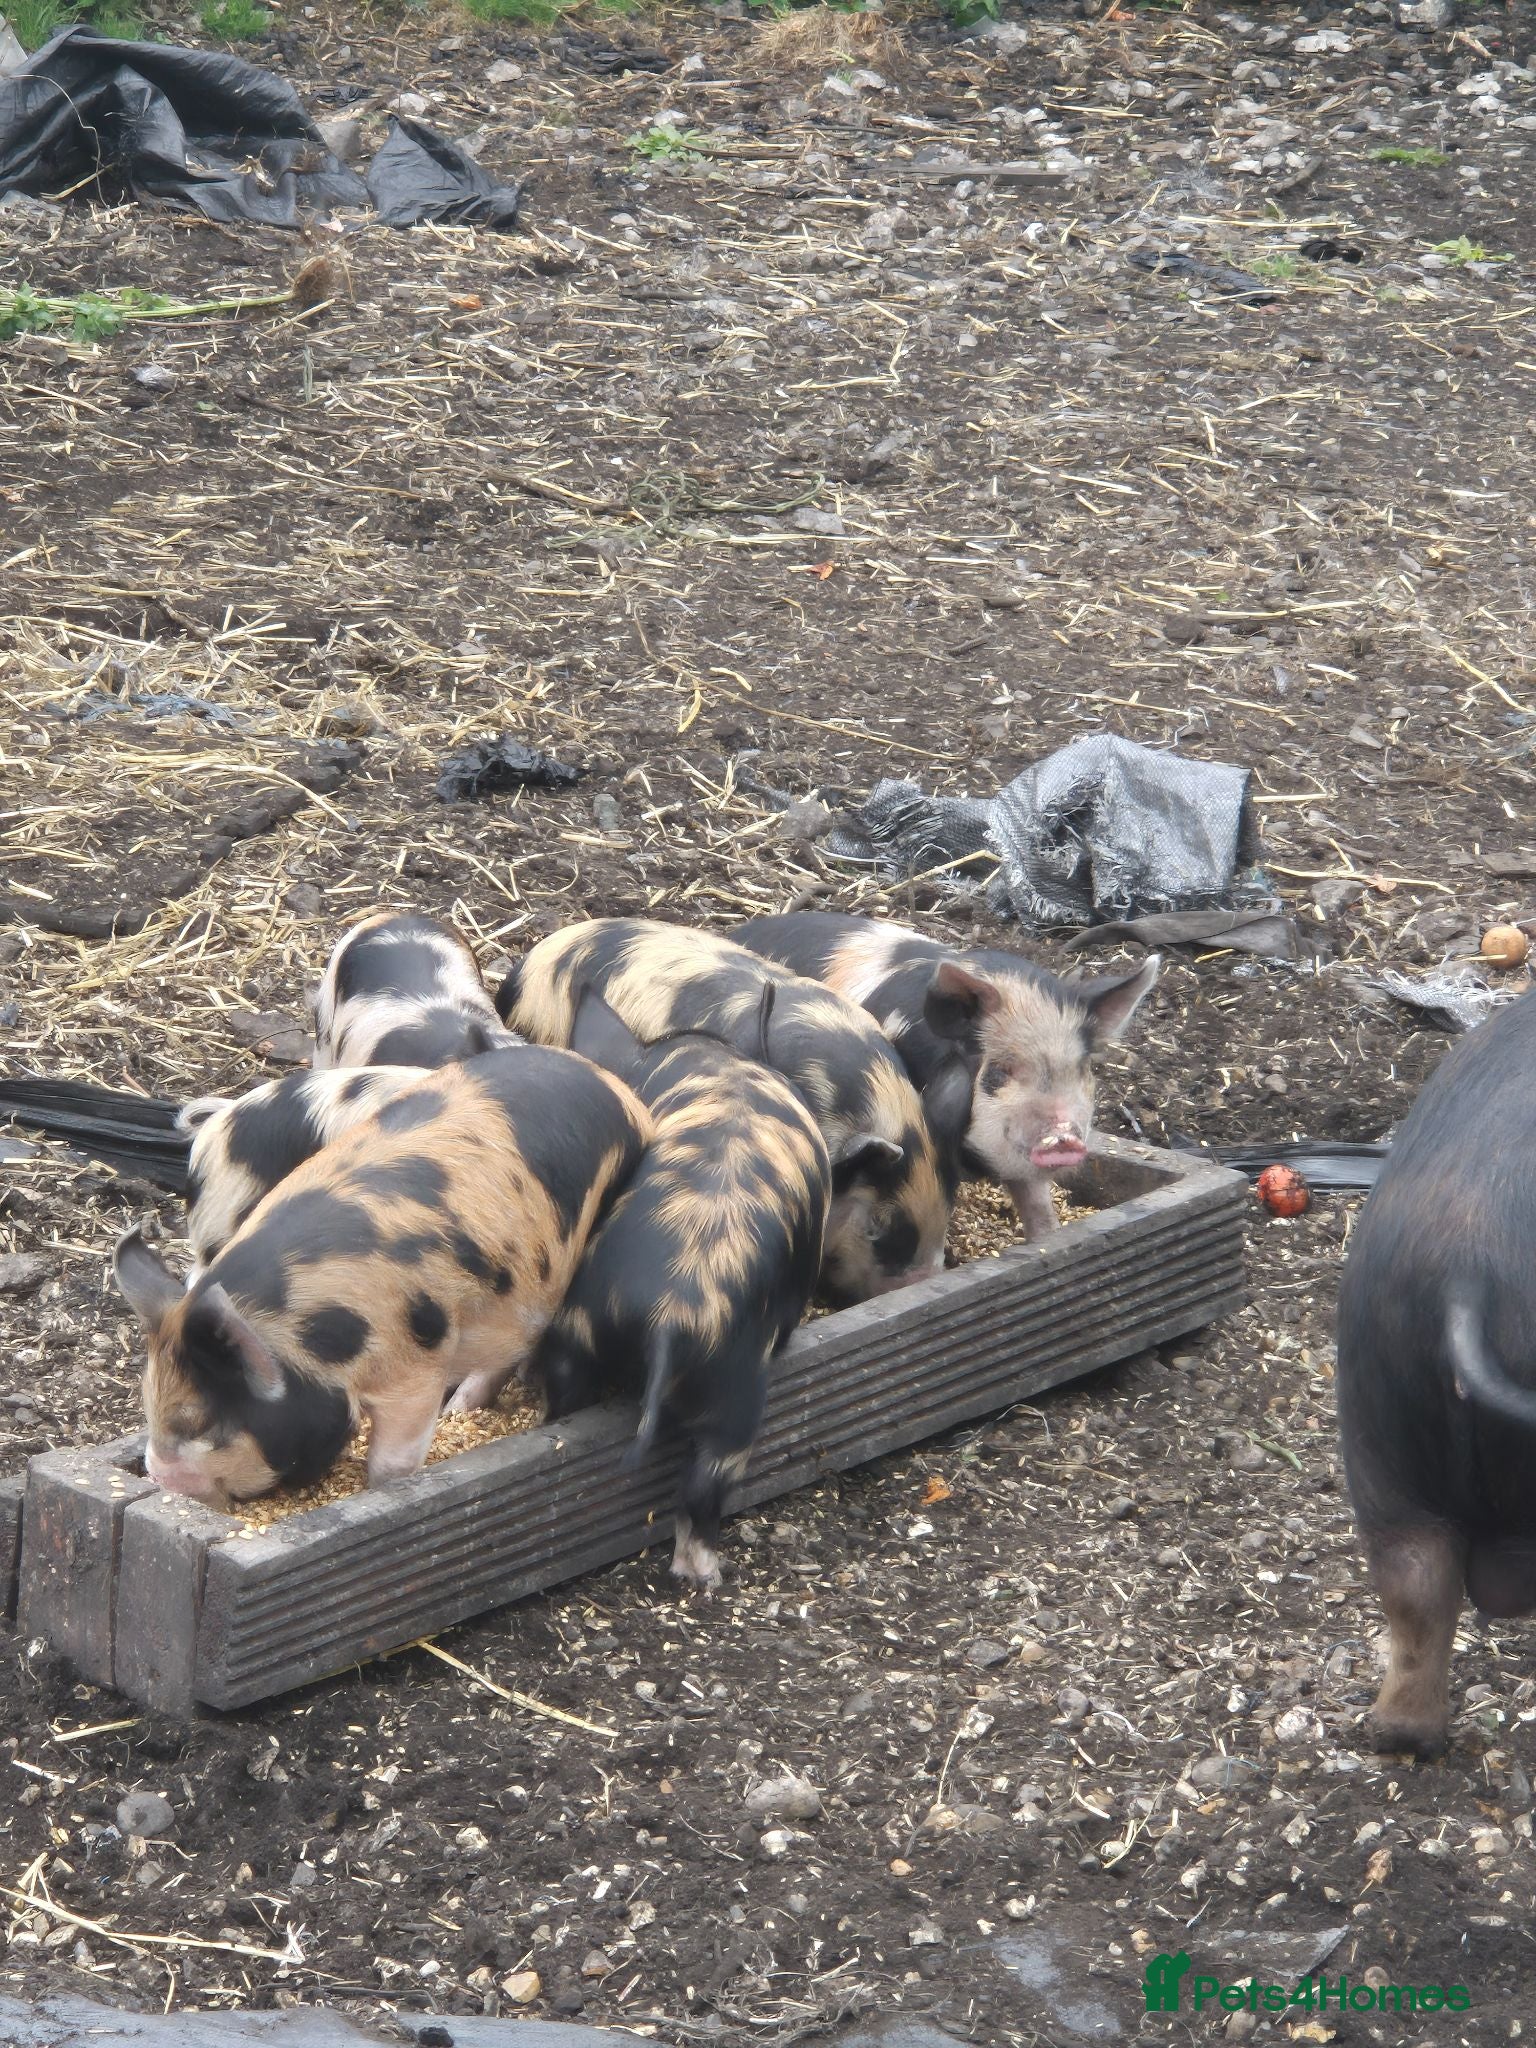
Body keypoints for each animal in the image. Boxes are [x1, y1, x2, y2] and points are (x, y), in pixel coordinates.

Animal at [532, 985, 830, 1588]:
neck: (723, 1061)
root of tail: (672, 1310)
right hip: (737, 1390)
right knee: (705, 1486)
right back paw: (707, 1573)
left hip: (577, 1326)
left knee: (567, 1393)